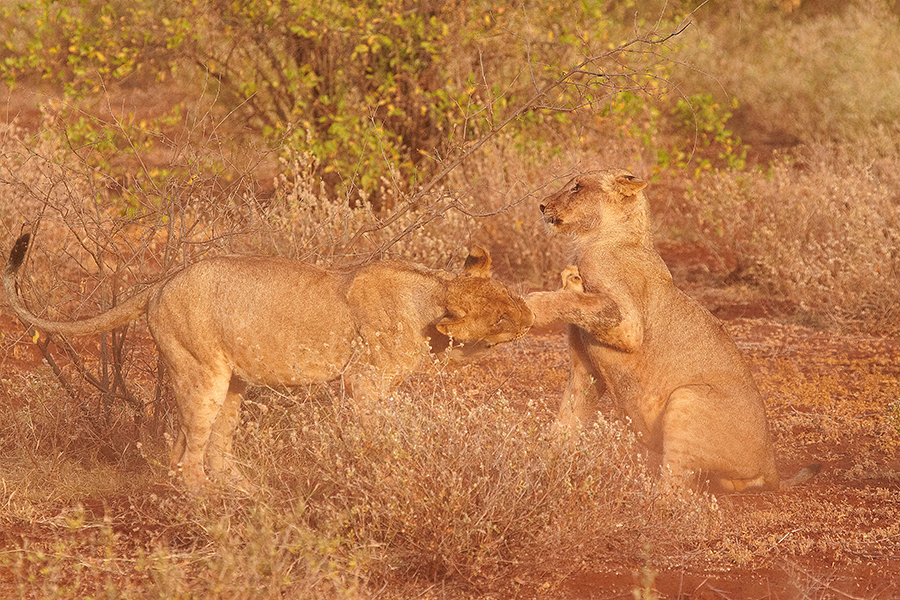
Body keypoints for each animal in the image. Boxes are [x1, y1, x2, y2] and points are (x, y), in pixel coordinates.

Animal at [3, 232, 532, 490]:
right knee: (187, 452)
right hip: (203, 372)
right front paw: (389, 465)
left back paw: (245, 486)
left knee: (208, 444)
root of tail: (158, 284)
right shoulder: (363, 382)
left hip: (234, 385)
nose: (529, 317)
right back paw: (204, 494)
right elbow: (377, 430)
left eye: (507, 292)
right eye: (502, 315)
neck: (432, 294)